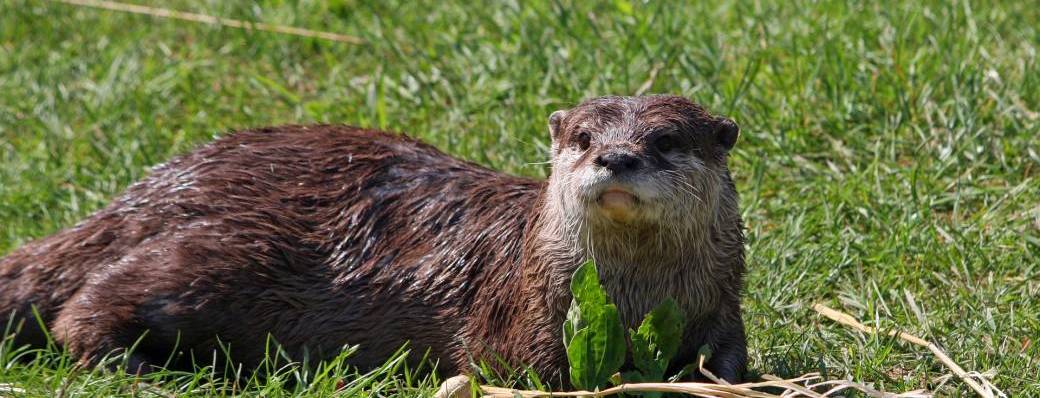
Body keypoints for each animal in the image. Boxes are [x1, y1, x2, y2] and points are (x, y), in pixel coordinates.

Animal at [0, 95, 748, 384]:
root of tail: (153, 189)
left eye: (665, 140)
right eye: (585, 137)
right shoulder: (519, 312)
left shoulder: (720, 305)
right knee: (84, 307)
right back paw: (146, 370)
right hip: (215, 253)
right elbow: (519, 369)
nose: (616, 158)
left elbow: (729, 361)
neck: (637, 296)